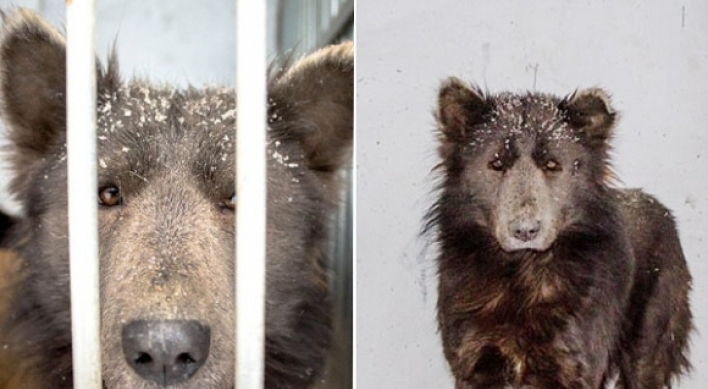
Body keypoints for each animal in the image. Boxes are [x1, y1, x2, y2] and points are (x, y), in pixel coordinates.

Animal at [426, 79, 692, 388]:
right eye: (496, 164)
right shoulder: (475, 362)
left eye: (552, 165)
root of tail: (663, 210)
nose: (525, 230)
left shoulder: (570, 366)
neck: (522, 276)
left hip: (647, 350)